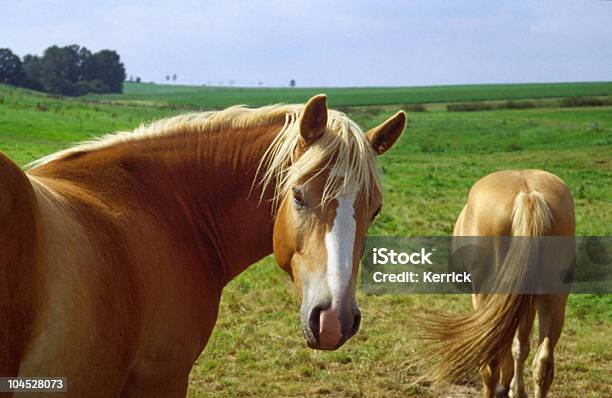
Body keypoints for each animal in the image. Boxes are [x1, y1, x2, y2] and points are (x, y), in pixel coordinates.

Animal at [420, 170, 572, 398]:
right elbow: (520, 346)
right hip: (552, 300)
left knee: (491, 364)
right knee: (543, 363)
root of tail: (528, 196)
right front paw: (516, 390)